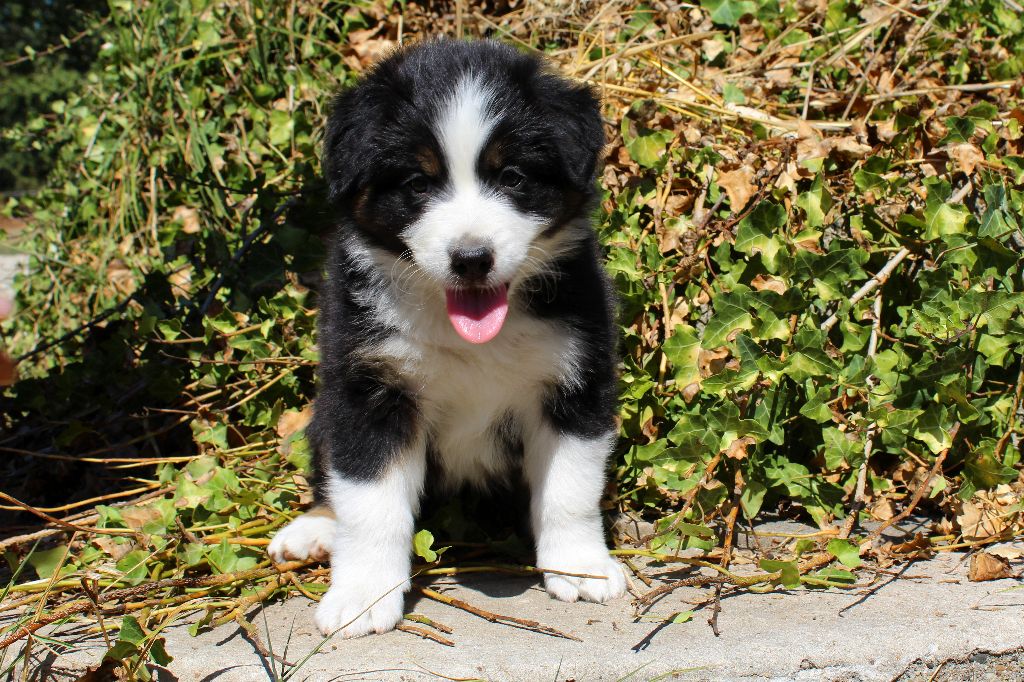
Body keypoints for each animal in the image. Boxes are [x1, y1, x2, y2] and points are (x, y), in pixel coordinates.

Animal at [268, 38, 626, 638]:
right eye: (418, 184)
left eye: (513, 178)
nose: (471, 258)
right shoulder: (369, 391)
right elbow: (370, 504)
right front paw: (363, 596)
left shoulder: (574, 381)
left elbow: (569, 490)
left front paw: (580, 568)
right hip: (325, 415)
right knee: (331, 485)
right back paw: (312, 531)